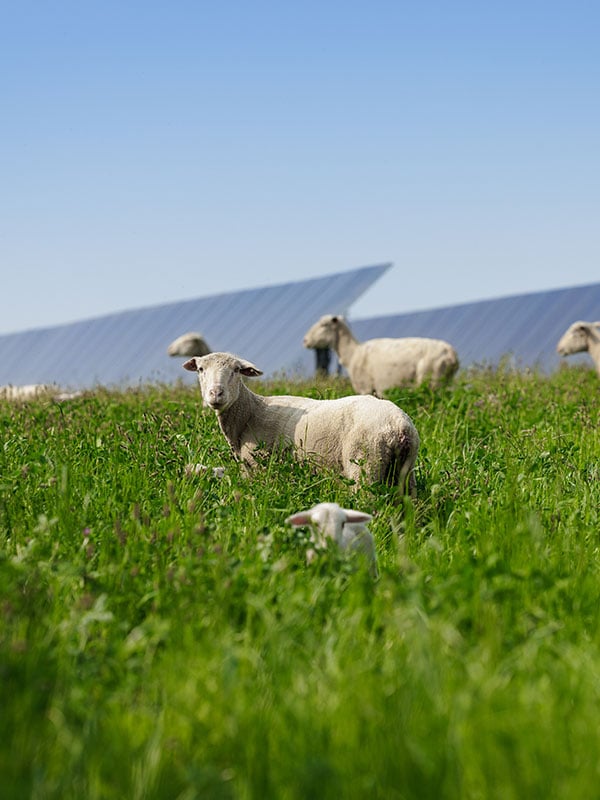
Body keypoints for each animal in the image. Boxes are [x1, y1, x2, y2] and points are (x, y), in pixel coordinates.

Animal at [183, 351, 420, 495]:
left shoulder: (258, 465)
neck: (250, 412)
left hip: (365, 465)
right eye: (201, 369)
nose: (216, 393)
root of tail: (399, 426)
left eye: (236, 370)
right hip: (405, 472)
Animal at [303, 314, 459, 396]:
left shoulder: (365, 388)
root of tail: (451, 354)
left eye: (323, 325)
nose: (305, 340)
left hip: (431, 378)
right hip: (445, 380)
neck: (352, 354)